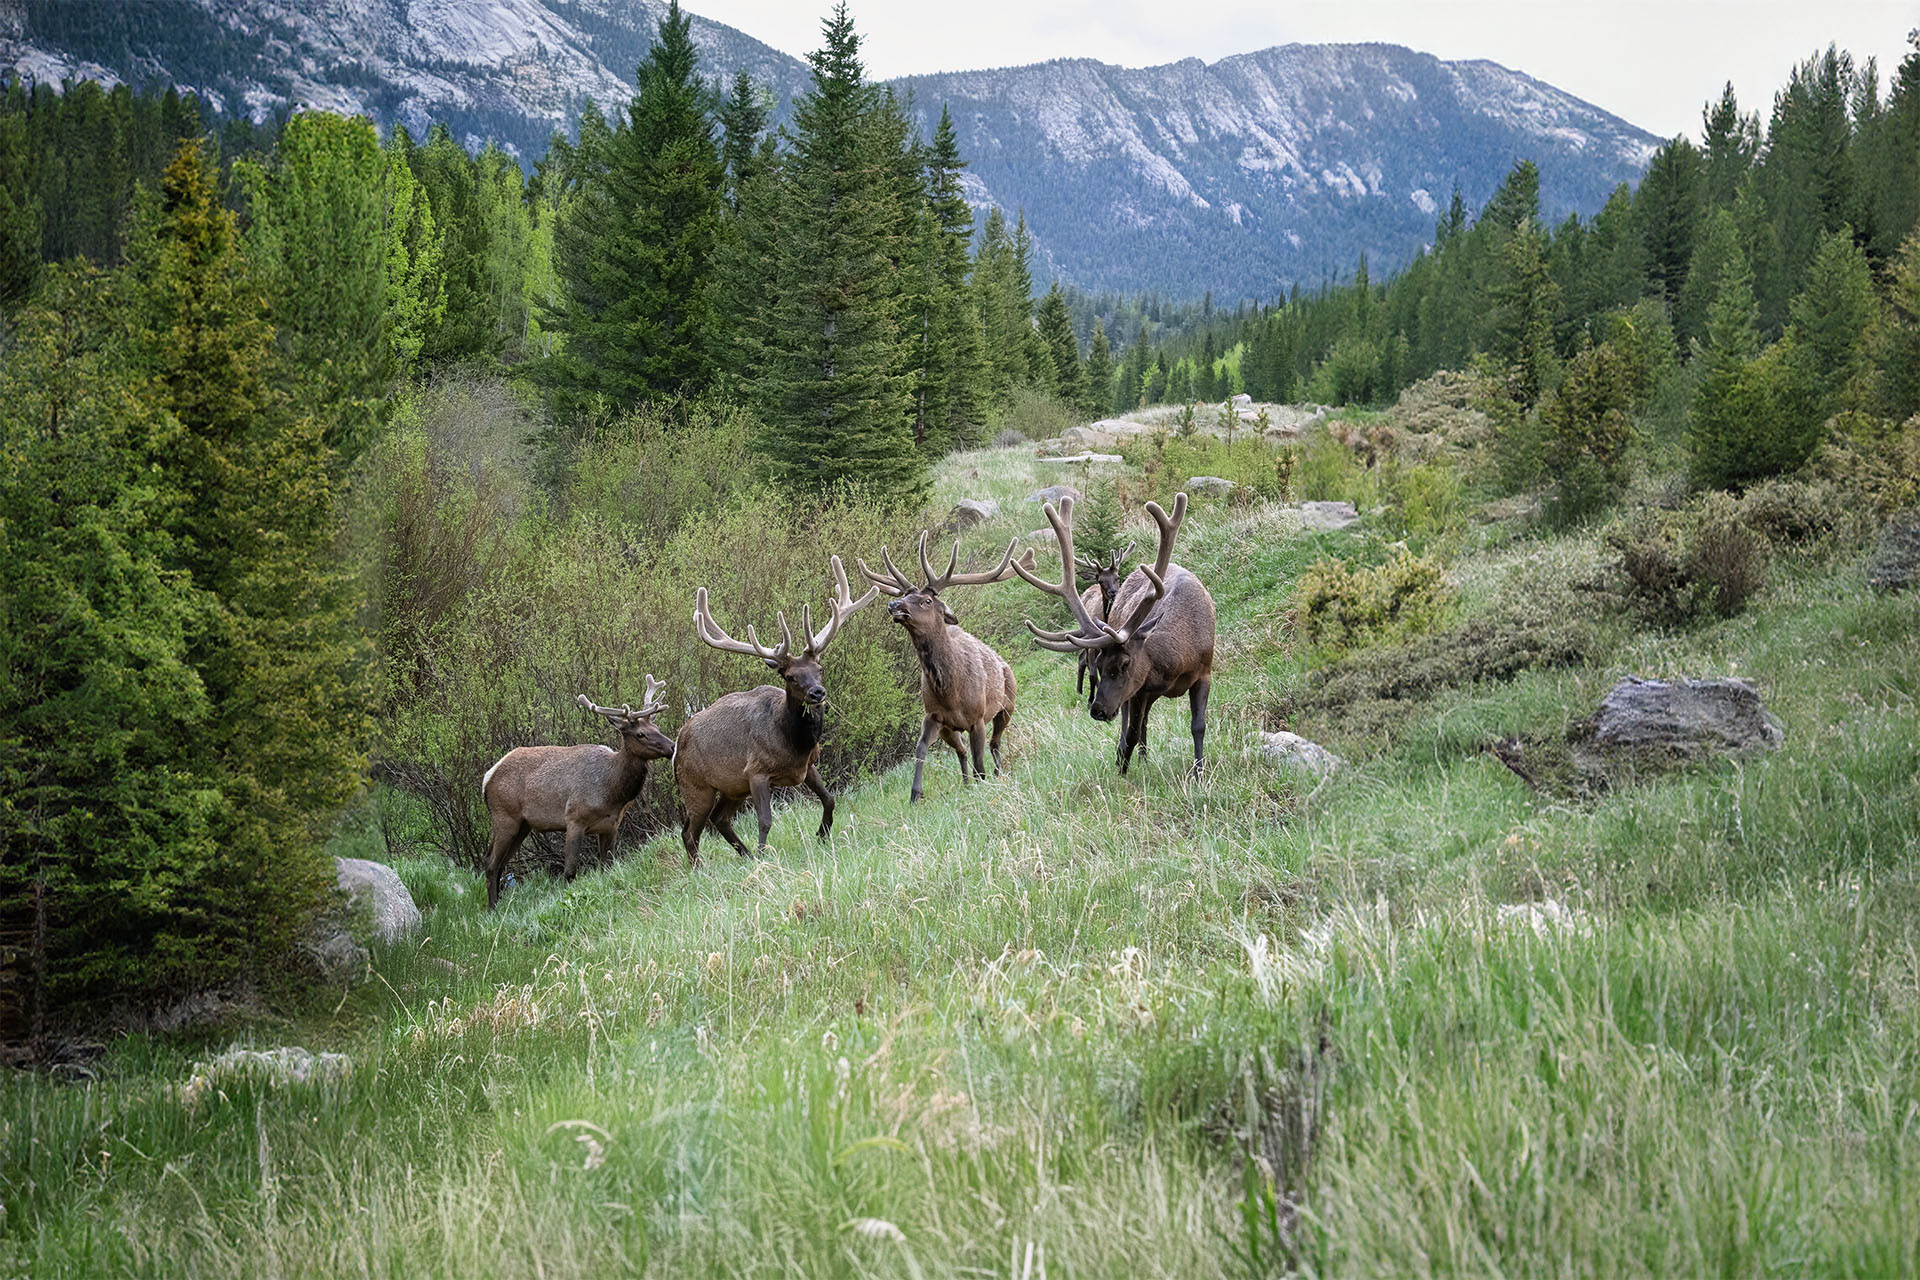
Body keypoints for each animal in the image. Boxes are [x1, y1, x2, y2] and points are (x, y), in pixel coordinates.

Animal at [480, 679, 675, 909]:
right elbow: (570, 872)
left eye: (656, 727)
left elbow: (607, 866)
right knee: (491, 863)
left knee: (501, 863)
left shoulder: (611, 825)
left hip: (523, 825)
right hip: (505, 816)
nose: (672, 746)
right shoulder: (574, 818)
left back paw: (500, 904)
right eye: (640, 734)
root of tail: (487, 778)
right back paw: (493, 908)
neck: (611, 793)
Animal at [675, 556, 879, 867]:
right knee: (689, 831)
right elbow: (765, 820)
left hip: (733, 786)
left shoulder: (808, 765)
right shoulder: (756, 771)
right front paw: (764, 857)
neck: (793, 744)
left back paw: (744, 854)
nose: (817, 693)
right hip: (696, 785)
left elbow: (829, 798)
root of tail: (675, 744)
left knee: (719, 819)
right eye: (790, 676)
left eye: (819, 668)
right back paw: (702, 867)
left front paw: (822, 834)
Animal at [860, 529, 1029, 802]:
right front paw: (915, 794)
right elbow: (920, 748)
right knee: (962, 751)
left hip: (1008, 704)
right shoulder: (934, 716)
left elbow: (979, 760)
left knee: (994, 743)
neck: (951, 691)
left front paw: (983, 782)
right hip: (951, 729)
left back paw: (996, 772)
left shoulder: (978, 717)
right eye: (905, 596)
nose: (893, 606)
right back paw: (966, 783)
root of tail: (1005, 664)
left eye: (927, 601)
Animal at [1021, 487, 1213, 771]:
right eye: (1100, 665)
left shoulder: (1204, 672)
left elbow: (1198, 726)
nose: (1097, 711)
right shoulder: (1141, 688)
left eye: (1124, 664)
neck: (1179, 659)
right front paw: (1121, 768)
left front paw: (1199, 772)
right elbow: (1130, 735)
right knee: (1137, 723)